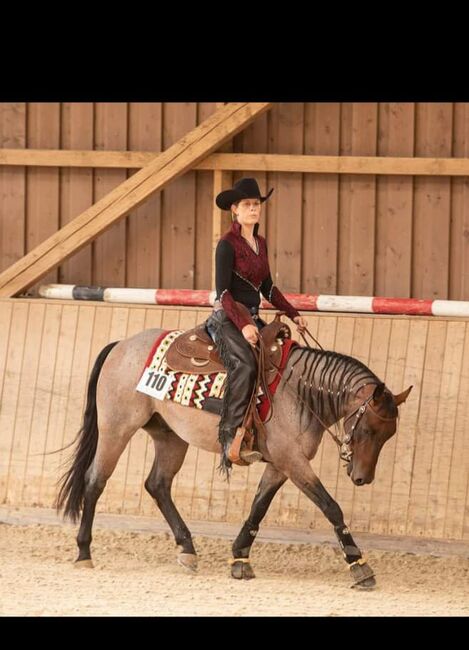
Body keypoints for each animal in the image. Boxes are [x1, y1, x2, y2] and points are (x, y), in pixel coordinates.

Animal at [56, 324, 412, 588]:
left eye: (389, 435)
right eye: (368, 430)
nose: (362, 477)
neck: (299, 390)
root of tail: (121, 344)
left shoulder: (281, 464)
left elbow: (258, 507)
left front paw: (240, 557)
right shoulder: (293, 460)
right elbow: (330, 506)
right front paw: (359, 564)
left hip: (170, 437)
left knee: (157, 484)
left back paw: (188, 549)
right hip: (116, 428)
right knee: (95, 481)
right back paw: (84, 552)